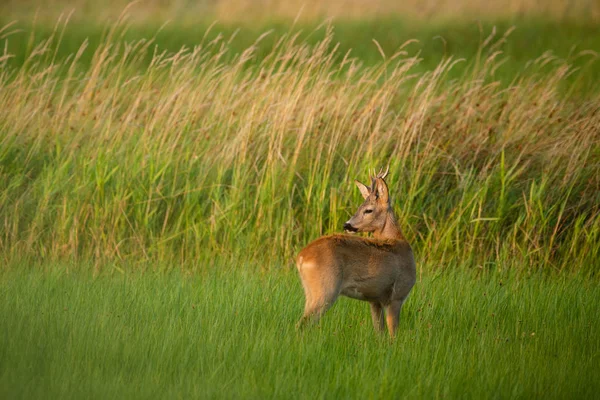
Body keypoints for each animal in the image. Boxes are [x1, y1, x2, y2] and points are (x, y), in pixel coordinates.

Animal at [296, 168, 418, 338]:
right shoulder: (397, 295)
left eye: (367, 209)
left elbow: (380, 333)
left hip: (310, 291)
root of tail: (301, 257)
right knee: (302, 324)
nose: (347, 225)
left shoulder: (375, 300)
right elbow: (393, 334)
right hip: (325, 290)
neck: (397, 241)